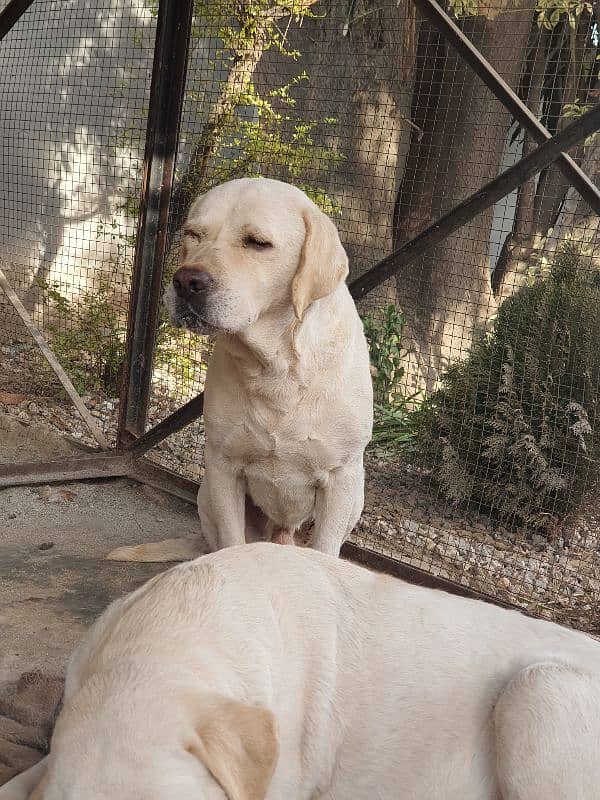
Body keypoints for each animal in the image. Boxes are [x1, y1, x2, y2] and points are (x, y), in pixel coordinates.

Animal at [108, 180, 370, 564]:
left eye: (257, 242)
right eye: (193, 234)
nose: (186, 281)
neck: (276, 367)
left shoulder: (341, 479)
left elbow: (325, 549)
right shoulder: (223, 466)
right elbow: (232, 541)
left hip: (355, 498)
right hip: (206, 493)